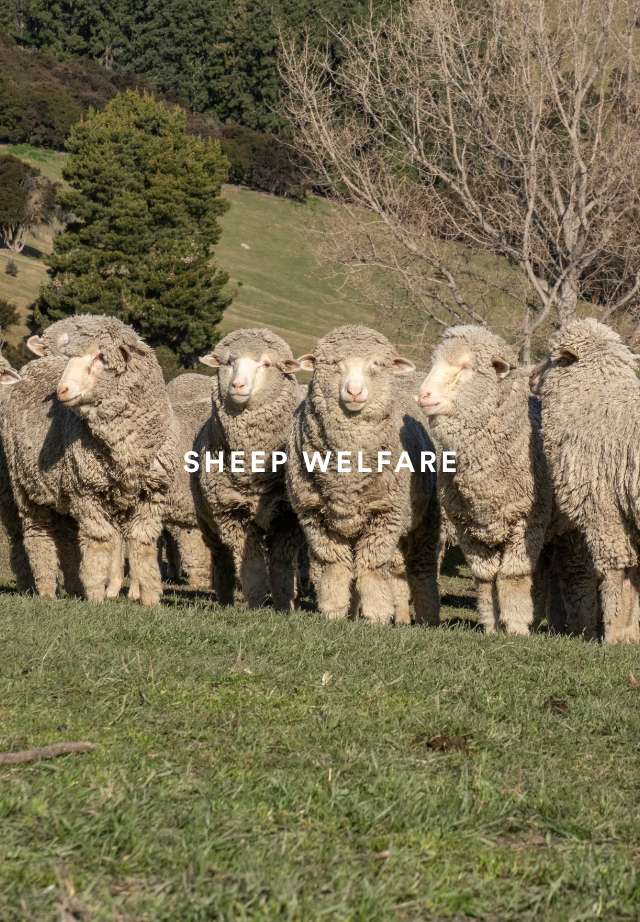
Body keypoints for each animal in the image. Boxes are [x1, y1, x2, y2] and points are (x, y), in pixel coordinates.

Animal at [1, 318, 179, 606]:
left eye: (99, 356)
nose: (61, 390)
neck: (126, 447)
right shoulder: (88, 491)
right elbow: (99, 539)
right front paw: (96, 594)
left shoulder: (153, 494)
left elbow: (142, 543)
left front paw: (151, 598)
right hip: (26, 485)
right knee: (38, 533)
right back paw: (47, 590)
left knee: (67, 538)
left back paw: (74, 588)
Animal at [195, 328, 304, 611]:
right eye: (228, 362)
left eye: (266, 364)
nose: (237, 386)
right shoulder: (233, 514)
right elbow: (251, 566)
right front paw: (255, 604)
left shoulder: (287, 517)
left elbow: (281, 566)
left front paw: (284, 606)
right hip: (208, 522)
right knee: (221, 559)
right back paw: (224, 599)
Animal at [286, 324, 440, 625]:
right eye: (333, 363)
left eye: (377, 365)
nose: (354, 391)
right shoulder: (316, 517)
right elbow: (335, 566)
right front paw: (333, 612)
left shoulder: (386, 515)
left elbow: (371, 566)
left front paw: (378, 616)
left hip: (425, 518)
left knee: (420, 567)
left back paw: (428, 617)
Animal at [417, 324, 598, 636]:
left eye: (467, 367)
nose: (423, 395)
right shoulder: (469, 528)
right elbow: (486, 579)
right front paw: (492, 627)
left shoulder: (525, 522)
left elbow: (512, 577)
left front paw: (514, 628)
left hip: (572, 524)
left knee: (576, 573)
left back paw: (580, 626)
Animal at [531, 318, 640, 643]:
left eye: (553, 359)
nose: (531, 378)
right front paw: (632, 633)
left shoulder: (603, 508)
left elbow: (617, 571)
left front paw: (615, 633)